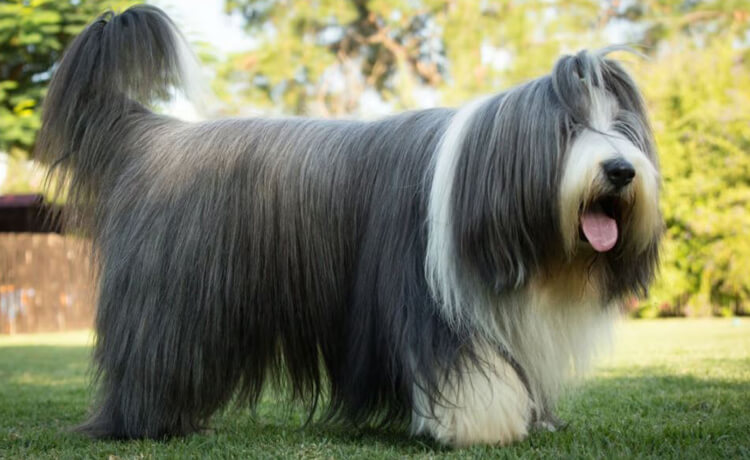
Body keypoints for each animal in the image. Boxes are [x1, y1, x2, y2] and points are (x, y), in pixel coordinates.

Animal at [39, 5, 664, 448]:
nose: (620, 170)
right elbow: (464, 367)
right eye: (569, 127)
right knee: (152, 361)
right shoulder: (429, 302)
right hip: (173, 304)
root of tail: (153, 134)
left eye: (624, 129)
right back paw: (146, 424)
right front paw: (480, 426)